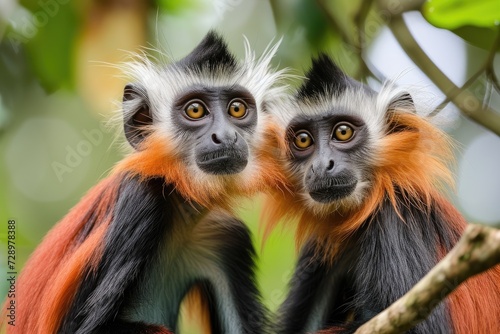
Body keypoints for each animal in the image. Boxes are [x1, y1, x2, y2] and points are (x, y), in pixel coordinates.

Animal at [9, 30, 288, 332]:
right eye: (195, 110)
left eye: (236, 109)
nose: (225, 136)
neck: (181, 212)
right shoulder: (141, 199)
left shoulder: (227, 237)